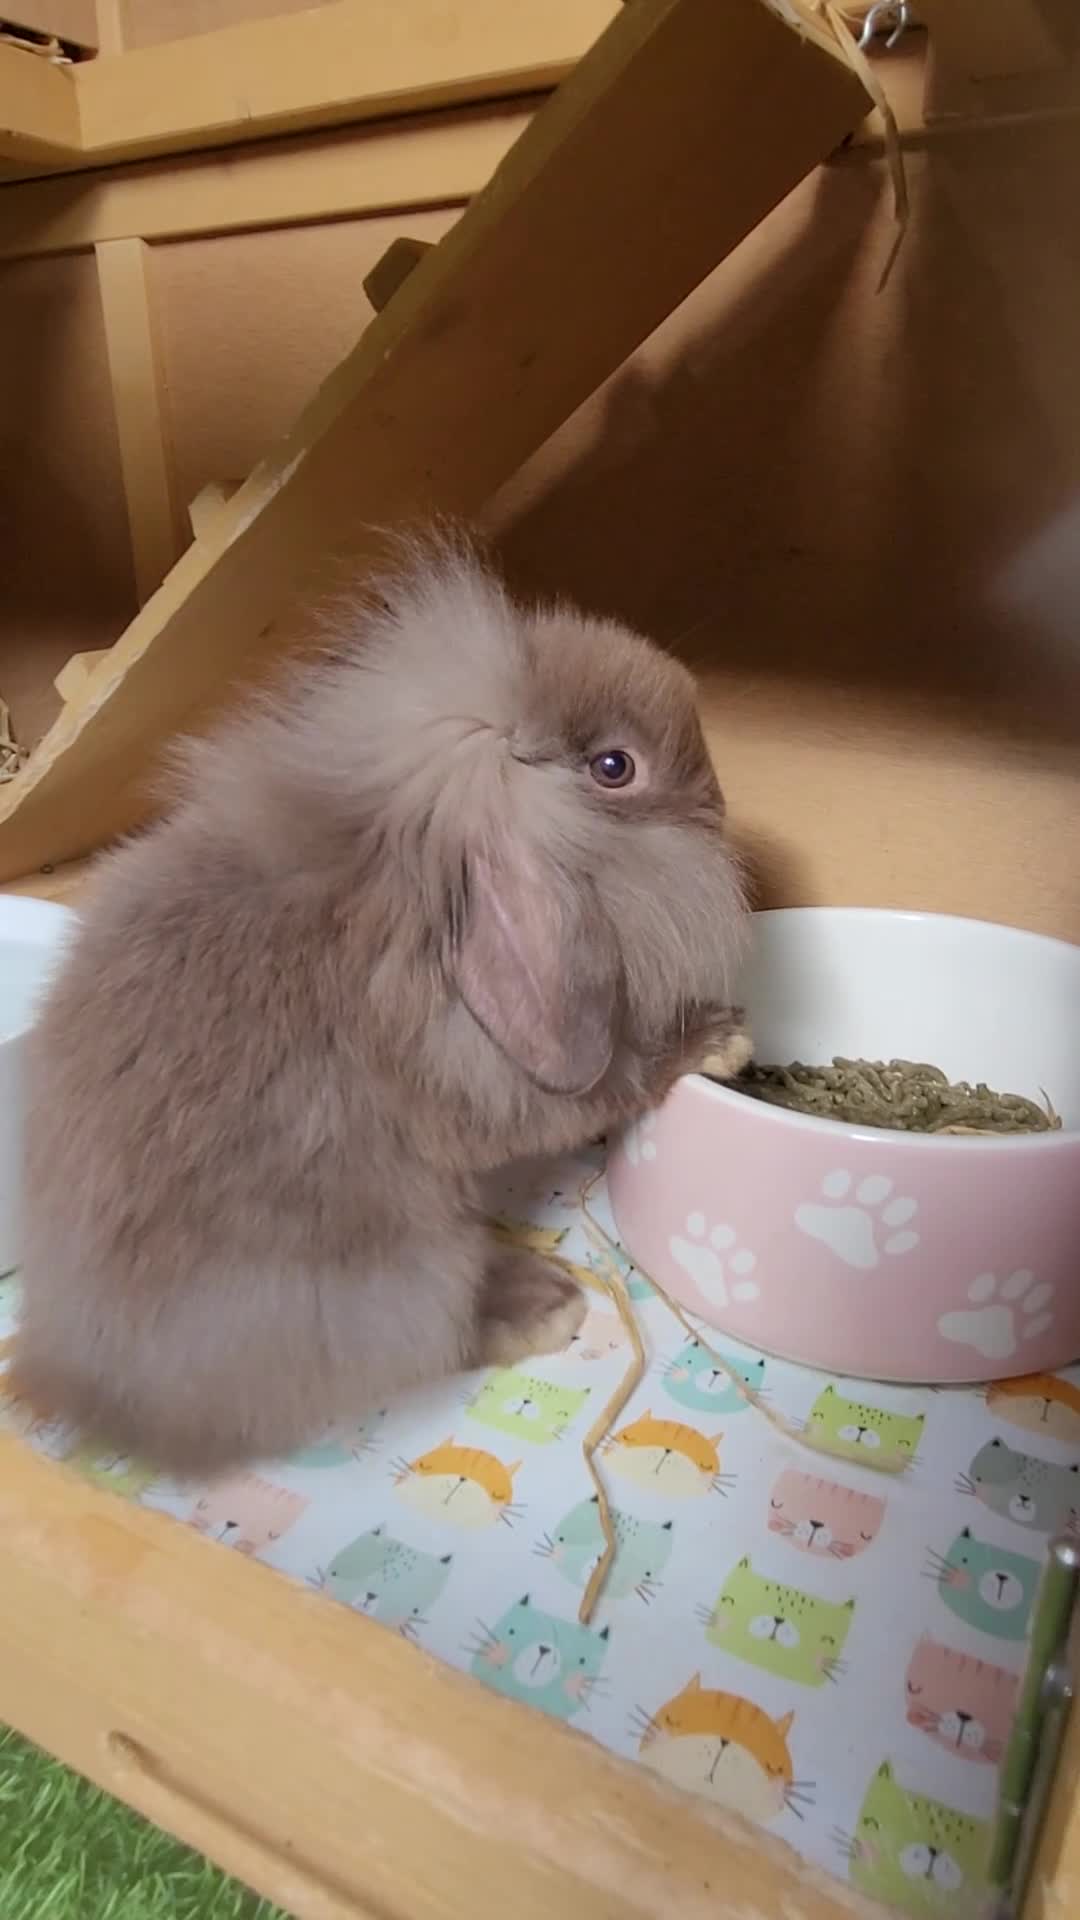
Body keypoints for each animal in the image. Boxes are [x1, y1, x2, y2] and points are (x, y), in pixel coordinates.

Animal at [13, 532, 748, 1476]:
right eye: (614, 768)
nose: (720, 802)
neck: (399, 866)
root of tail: (91, 1381)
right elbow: (617, 1080)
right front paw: (718, 1040)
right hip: (395, 1267)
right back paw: (538, 1303)